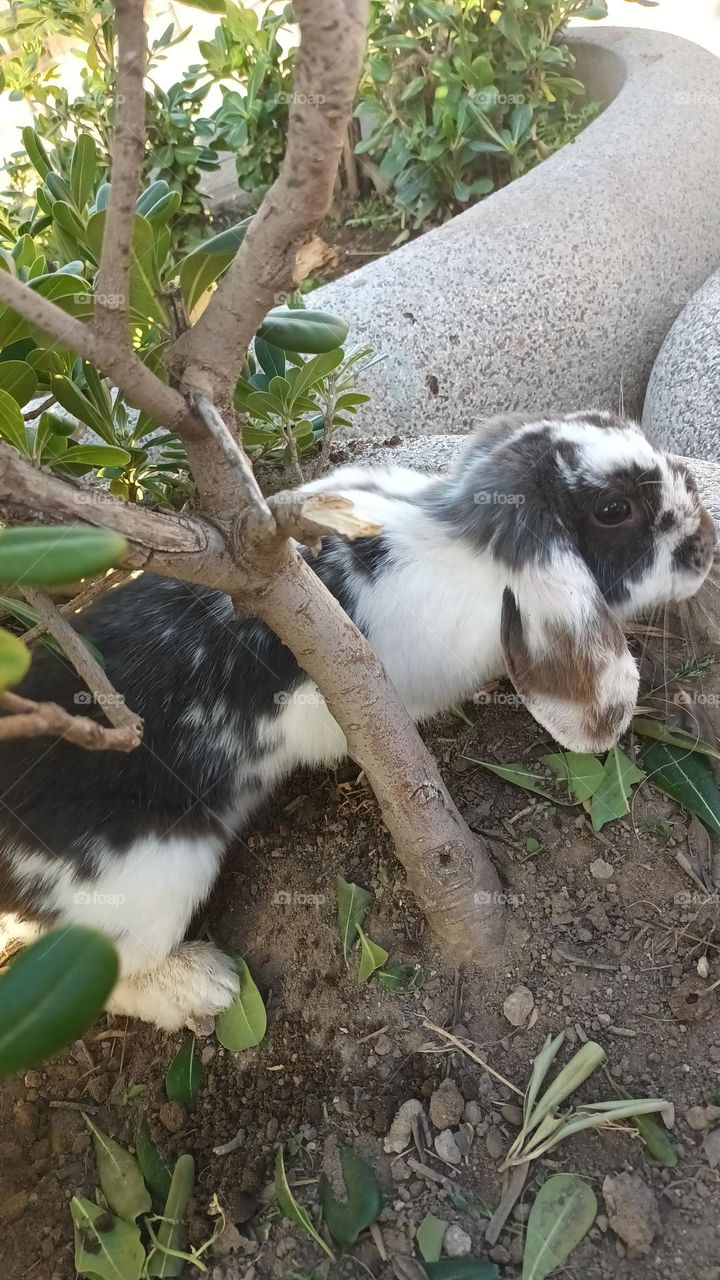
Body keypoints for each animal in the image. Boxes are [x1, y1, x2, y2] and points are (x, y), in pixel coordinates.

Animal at [0, 410, 715, 1029]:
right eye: (615, 510)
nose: (706, 543)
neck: (467, 546)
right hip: (149, 882)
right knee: (106, 974)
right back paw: (206, 983)